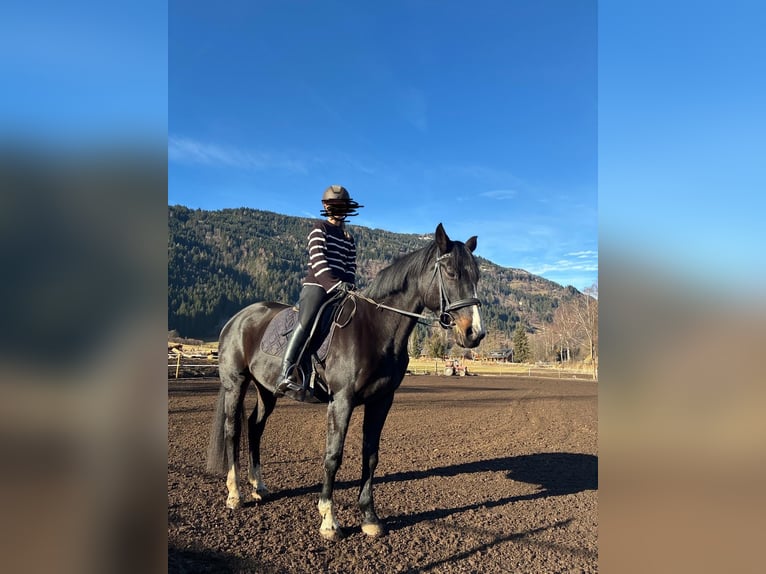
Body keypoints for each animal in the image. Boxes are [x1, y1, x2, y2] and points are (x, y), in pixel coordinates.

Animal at [206, 223, 485, 540]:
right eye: (451, 272)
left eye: (476, 276)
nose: (475, 333)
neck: (377, 329)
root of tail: (238, 318)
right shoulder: (342, 400)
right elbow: (333, 455)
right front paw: (329, 520)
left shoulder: (381, 401)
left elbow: (371, 455)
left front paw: (370, 518)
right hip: (236, 383)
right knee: (232, 430)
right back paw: (235, 494)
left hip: (267, 390)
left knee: (255, 427)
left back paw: (259, 487)